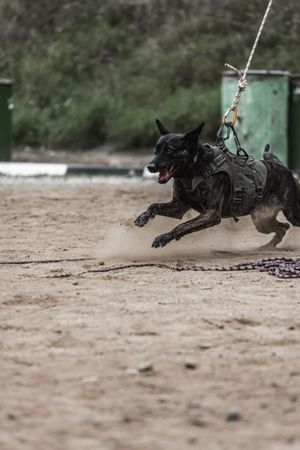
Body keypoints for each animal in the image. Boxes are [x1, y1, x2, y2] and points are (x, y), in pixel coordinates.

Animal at [134, 119, 300, 250]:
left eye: (169, 150)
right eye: (156, 150)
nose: (150, 167)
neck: (194, 169)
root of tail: (284, 168)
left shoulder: (210, 214)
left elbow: (182, 226)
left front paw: (164, 237)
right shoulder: (178, 207)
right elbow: (154, 206)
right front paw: (143, 217)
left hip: (291, 213)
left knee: (289, 224)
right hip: (261, 219)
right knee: (283, 227)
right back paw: (268, 246)